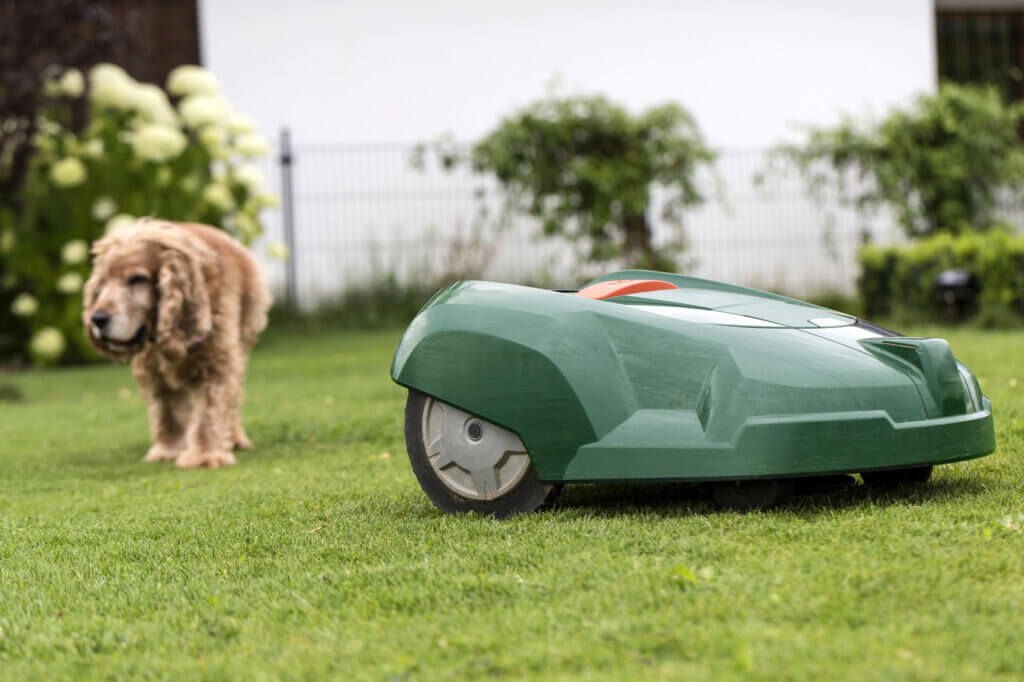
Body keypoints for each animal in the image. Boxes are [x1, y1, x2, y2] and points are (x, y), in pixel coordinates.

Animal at [82, 218, 272, 466]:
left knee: (234, 399)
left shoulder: (217, 362)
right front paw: (168, 449)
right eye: (102, 284)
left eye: (137, 279)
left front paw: (205, 455)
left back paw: (235, 438)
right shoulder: (152, 370)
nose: (97, 319)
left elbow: (210, 410)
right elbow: (167, 411)